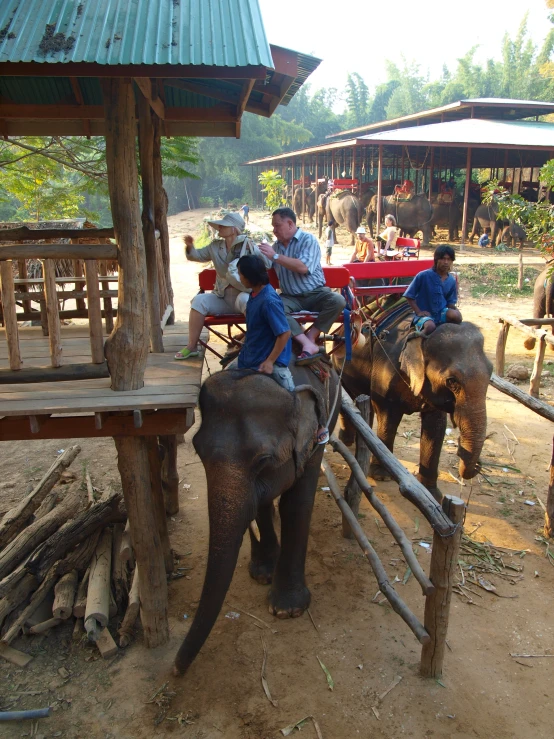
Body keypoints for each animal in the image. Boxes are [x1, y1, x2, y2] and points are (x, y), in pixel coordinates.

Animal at [172, 364, 338, 676]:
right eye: (198, 451)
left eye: (263, 461)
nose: (175, 669)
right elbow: (262, 501)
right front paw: (262, 575)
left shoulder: (316, 436)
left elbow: (296, 504)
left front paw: (287, 611)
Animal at [334, 316, 490, 500]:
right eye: (452, 381)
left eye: (491, 374)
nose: (479, 465)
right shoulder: (385, 372)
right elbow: (387, 416)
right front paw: (381, 475)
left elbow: (435, 426)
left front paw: (432, 493)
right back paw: (347, 441)